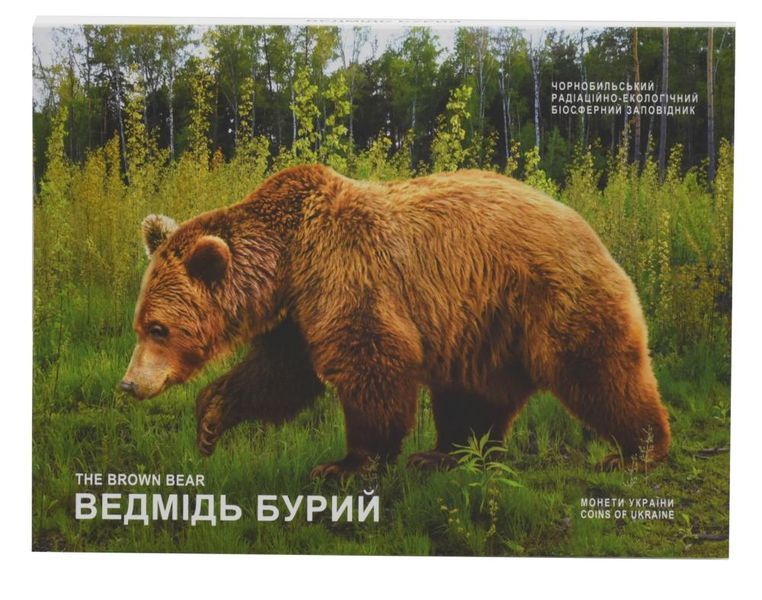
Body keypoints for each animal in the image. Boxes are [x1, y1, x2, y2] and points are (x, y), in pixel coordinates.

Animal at [120, 164, 670, 478]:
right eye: (140, 324)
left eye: (160, 329)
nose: (129, 385)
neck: (288, 259)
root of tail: (587, 226)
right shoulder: (299, 312)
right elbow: (278, 375)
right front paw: (210, 420)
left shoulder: (346, 273)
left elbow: (373, 361)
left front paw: (344, 465)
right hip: (483, 325)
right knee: (472, 394)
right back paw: (444, 455)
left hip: (550, 298)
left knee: (599, 373)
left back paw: (637, 451)